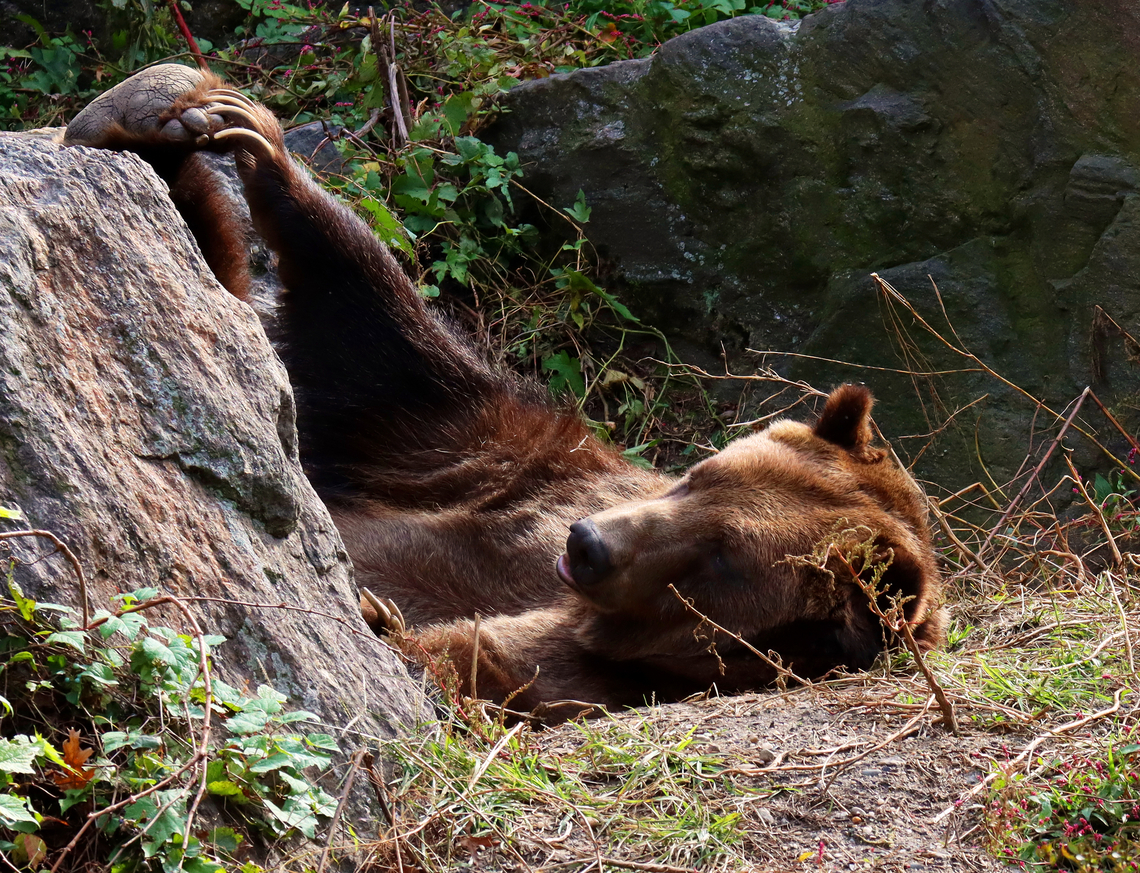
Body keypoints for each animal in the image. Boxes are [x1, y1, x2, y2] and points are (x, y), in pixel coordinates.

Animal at [66, 66, 947, 722]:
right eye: (699, 474)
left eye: (721, 560)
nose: (588, 544)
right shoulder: (518, 470)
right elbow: (384, 363)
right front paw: (240, 131)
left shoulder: (596, 669)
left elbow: (460, 661)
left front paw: (378, 618)